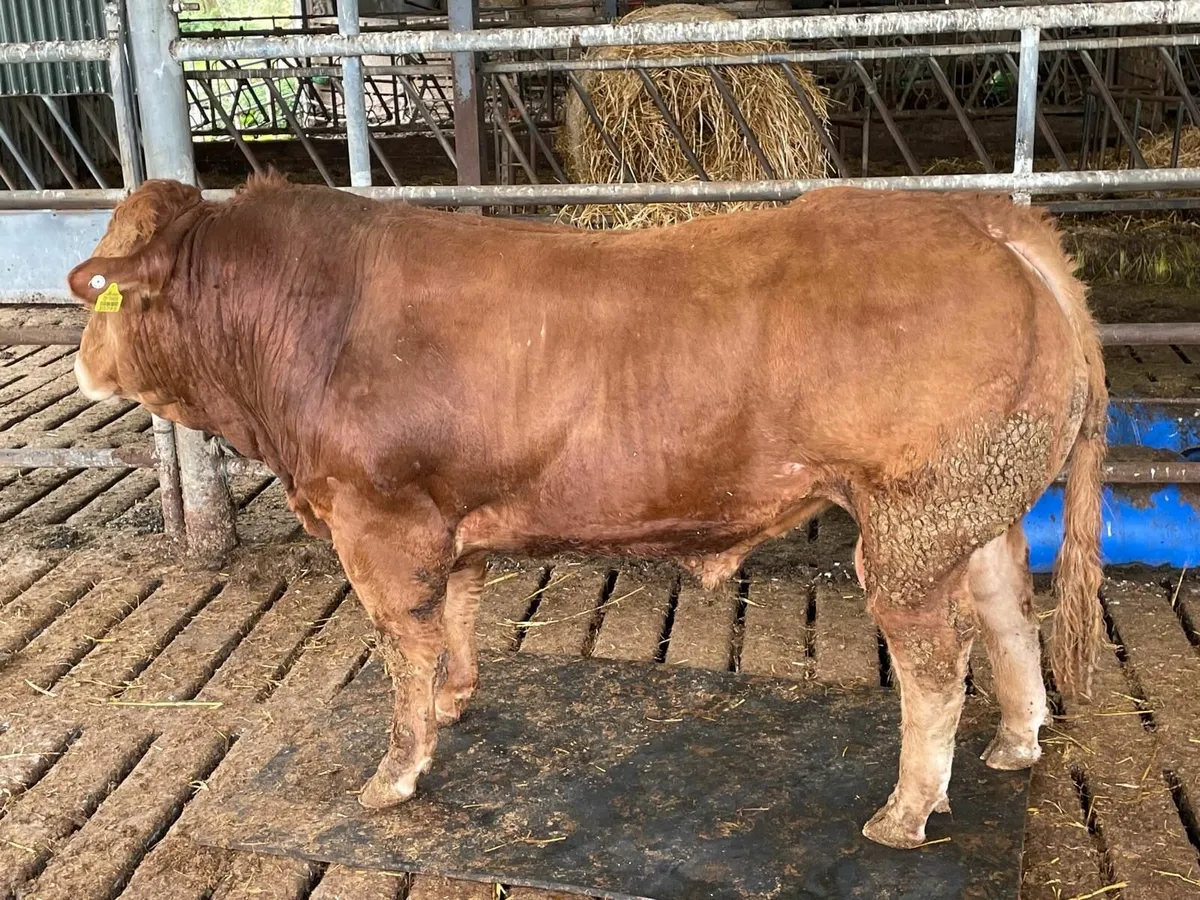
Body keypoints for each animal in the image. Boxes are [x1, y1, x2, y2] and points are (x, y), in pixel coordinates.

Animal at [67, 173, 1106, 850]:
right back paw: (1015, 745)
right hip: (978, 510)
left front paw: (394, 776)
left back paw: (903, 814)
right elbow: (457, 616)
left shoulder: (379, 519)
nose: (82, 363)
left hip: (910, 519)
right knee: (1010, 616)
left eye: (97, 291)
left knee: (937, 661)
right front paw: (456, 699)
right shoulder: (452, 516)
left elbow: (403, 646)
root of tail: (983, 216)